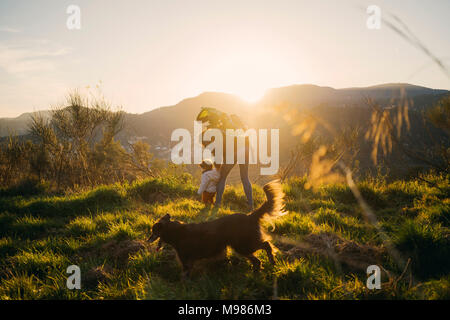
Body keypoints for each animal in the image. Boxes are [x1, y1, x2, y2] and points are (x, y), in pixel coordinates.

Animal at [149, 180, 284, 276]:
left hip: (244, 245)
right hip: (242, 247)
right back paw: (257, 272)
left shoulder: (186, 262)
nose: (148, 239)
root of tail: (250, 216)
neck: (176, 232)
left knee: (266, 245)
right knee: (257, 261)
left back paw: (271, 260)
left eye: (153, 231)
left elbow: (184, 277)